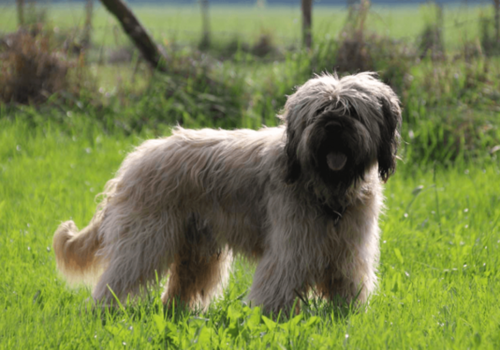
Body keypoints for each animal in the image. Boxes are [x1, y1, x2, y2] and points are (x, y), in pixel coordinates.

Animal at [52, 72, 400, 314]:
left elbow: (347, 283)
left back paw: (175, 312)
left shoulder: (348, 250)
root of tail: (134, 161)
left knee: (183, 283)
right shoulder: (291, 248)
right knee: (117, 278)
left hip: (196, 248)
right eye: (318, 112)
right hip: (146, 238)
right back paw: (103, 312)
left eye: (352, 111)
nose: (332, 126)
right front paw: (268, 320)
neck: (326, 189)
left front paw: (344, 315)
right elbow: (277, 283)